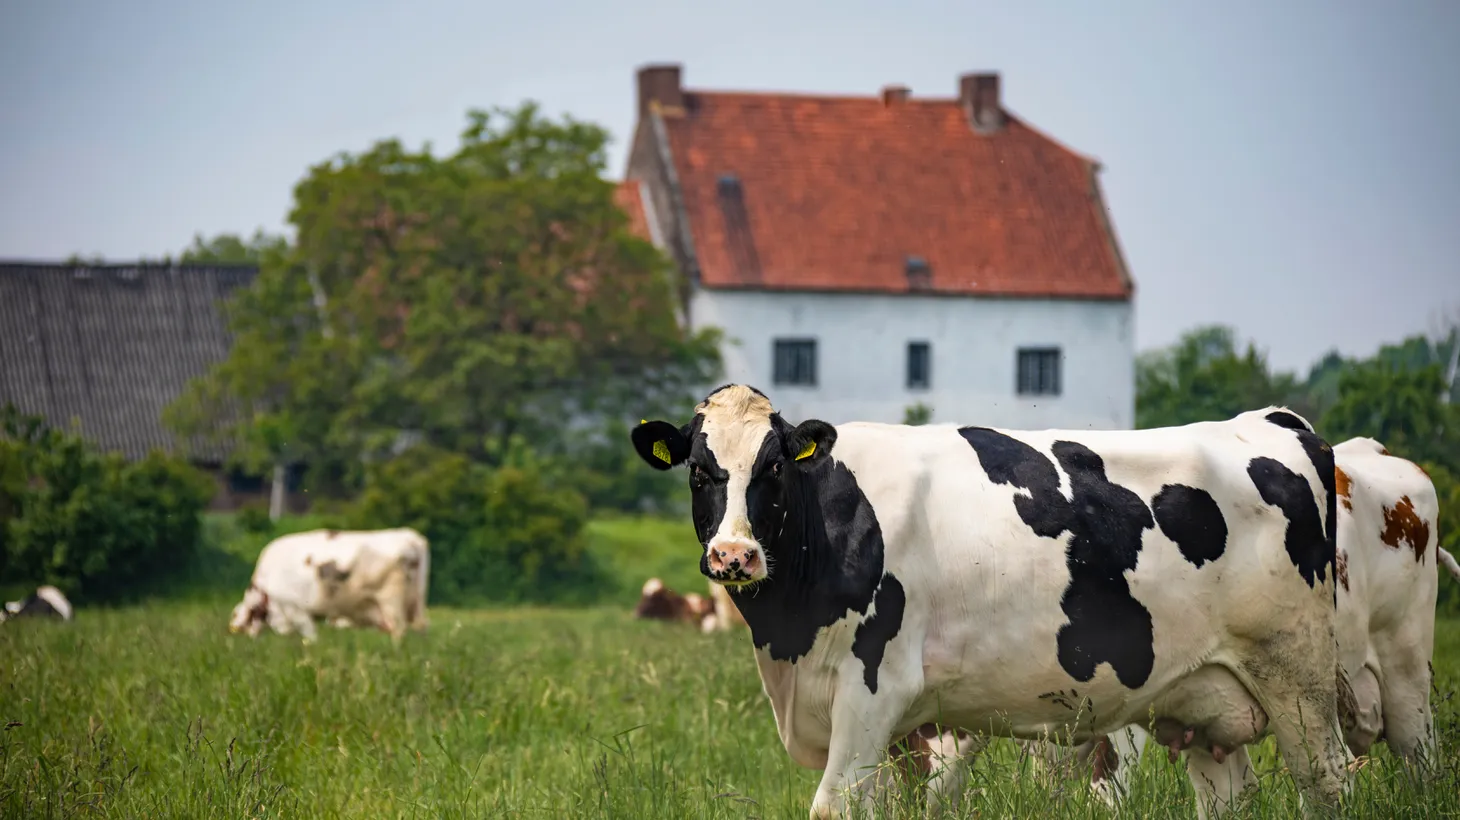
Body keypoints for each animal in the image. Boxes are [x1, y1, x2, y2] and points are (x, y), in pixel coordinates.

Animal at [227, 525, 429, 641]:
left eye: (235, 613)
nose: (233, 628)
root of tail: (409, 536)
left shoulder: (294, 608)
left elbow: (309, 636)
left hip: (391, 603)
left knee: (399, 632)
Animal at [636, 385, 1354, 817]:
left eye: (774, 467)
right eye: (699, 471)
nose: (734, 556)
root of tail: (1274, 422)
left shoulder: (873, 688)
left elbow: (833, 805)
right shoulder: (897, 728)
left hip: (1297, 675)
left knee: (1329, 780)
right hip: (1206, 698)